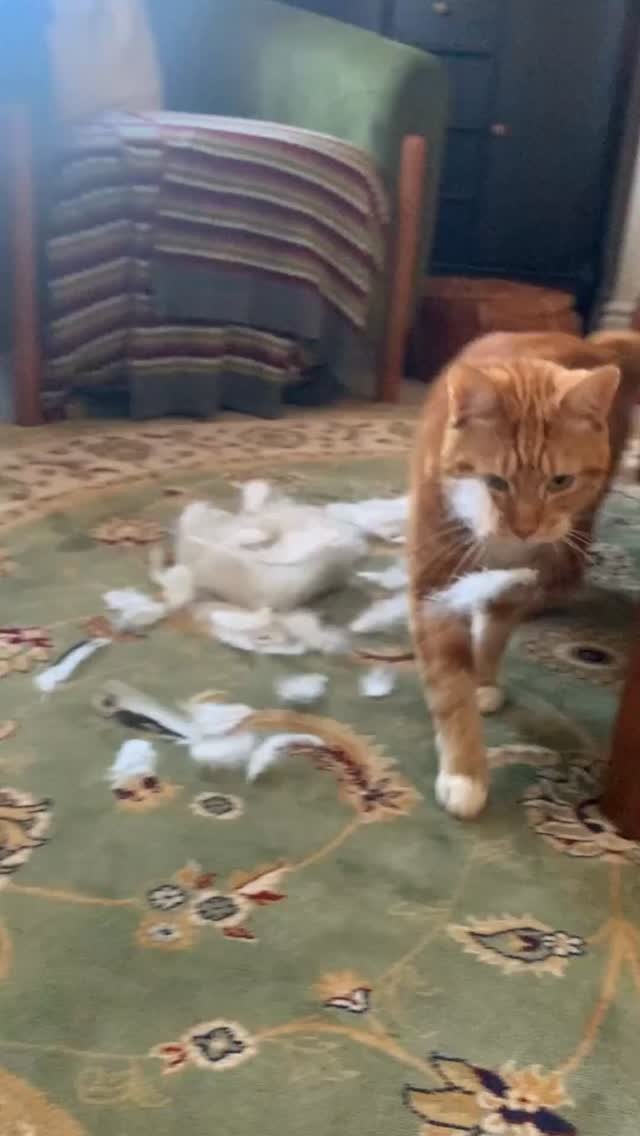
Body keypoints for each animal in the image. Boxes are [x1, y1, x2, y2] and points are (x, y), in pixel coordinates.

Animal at [408, 328, 640, 821]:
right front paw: (465, 773)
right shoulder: (435, 589)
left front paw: (484, 681)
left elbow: (495, 633)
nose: (526, 526)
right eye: (495, 482)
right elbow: (451, 686)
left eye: (560, 481)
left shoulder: (519, 579)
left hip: (579, 526)